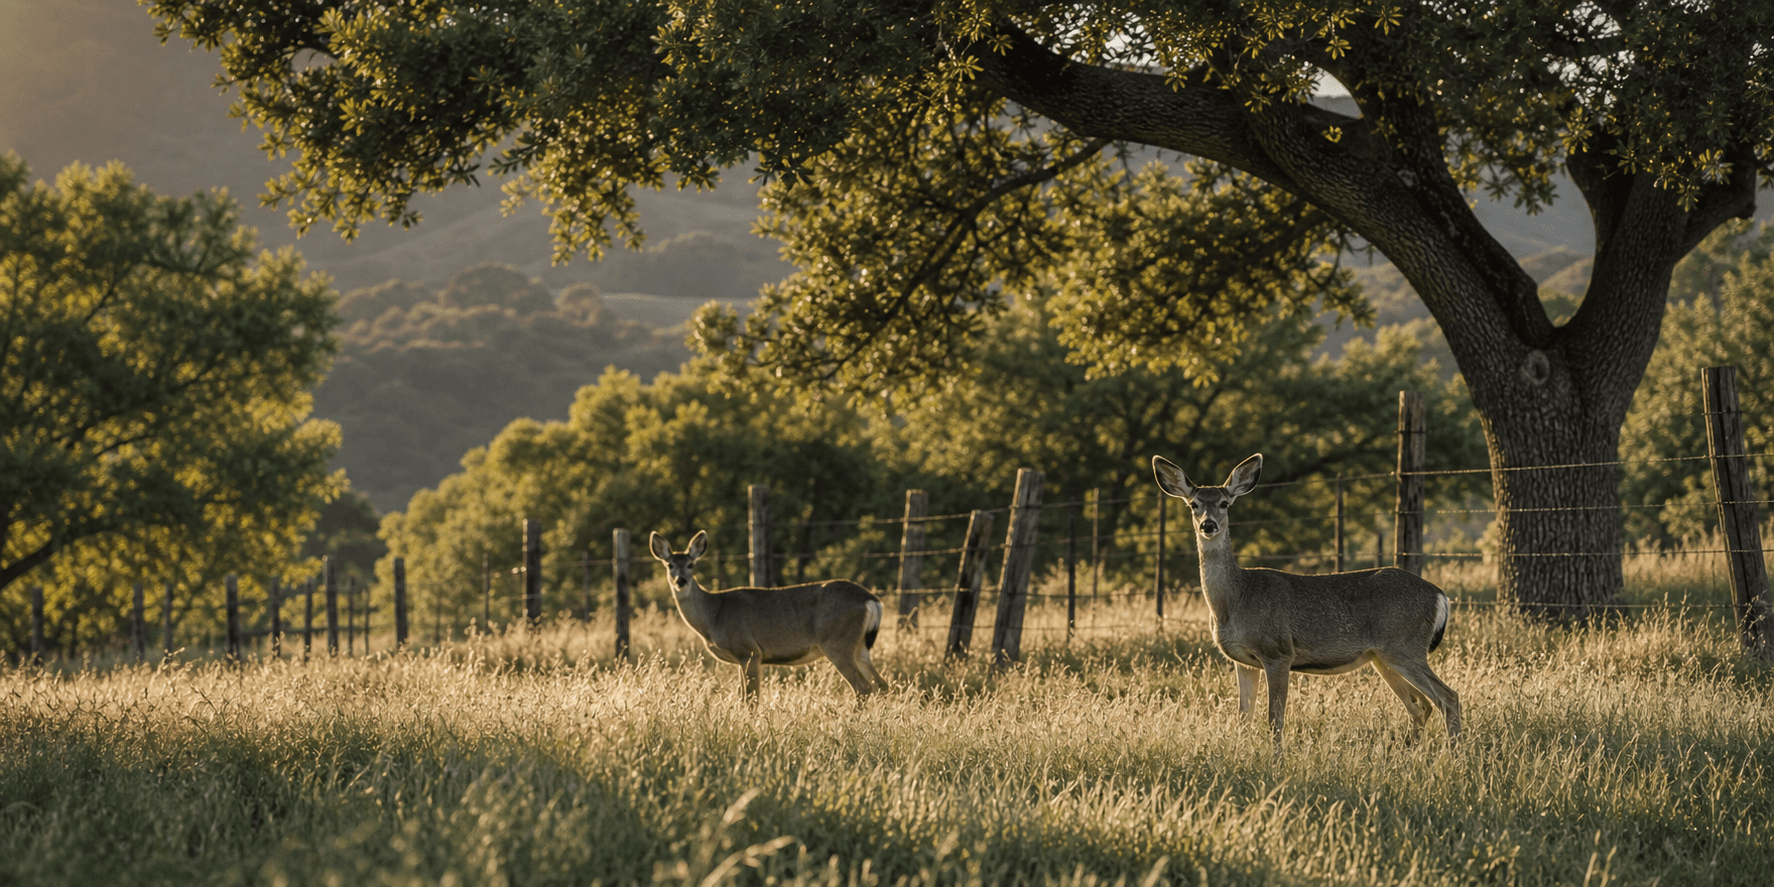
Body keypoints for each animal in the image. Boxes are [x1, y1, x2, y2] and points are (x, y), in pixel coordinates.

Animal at [648, 531, 889, 701]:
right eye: (670, 565)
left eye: (691, 564)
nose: (681, 581)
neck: (713, 615)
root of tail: (871, 600)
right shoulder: (743, 658)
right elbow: (743, 696)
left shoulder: (749, 650)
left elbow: (751, 699)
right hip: (860, 646)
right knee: (881, 685)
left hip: (837, 642)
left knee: (863, 688)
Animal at [1152, 453, 1461, 751]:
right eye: (1193, 504)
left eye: (1224, 503)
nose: (1208, 525)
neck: (1235, 599)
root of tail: (1440, 596)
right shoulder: (1243, 661)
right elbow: (1243, 718)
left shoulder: (1277, 651)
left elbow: (1274, 719)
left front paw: (1276, 761)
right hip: (1382, 656)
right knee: (1420, 705)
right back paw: (1410, 753)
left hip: (1404, 645)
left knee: (1448, 697)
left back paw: (1454, 756)